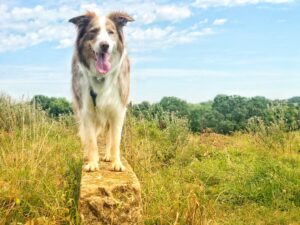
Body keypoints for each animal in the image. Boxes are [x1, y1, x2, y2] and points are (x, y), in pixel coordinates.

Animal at [69, 11, 134, 171]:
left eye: (111, 32)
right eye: (93, 31)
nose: (105, 45)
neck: (100, 77)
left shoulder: (117, 108)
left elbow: (115, 139)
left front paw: (116, 163)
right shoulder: (86, 110)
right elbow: (91, 140)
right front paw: (93, 162)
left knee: (109, 135)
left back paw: (108, 156)